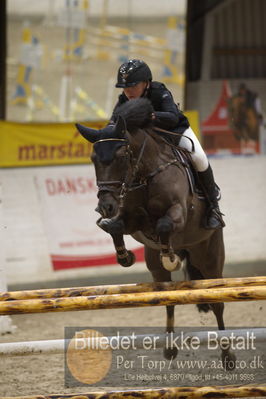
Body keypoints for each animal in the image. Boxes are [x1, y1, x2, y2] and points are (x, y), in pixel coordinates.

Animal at [76, 97, 235, 368]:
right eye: (93, 158)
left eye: (122, 156)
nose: (106, 206)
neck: (144, 173)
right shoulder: (133, 220)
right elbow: (115, 228)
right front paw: (125, 256)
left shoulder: (178, 212)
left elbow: (164, 225)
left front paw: (170, 256)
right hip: (155, 268)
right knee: (167, 300)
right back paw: (169, 348)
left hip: (209, 258)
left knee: (217, 303)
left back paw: (227, 355)